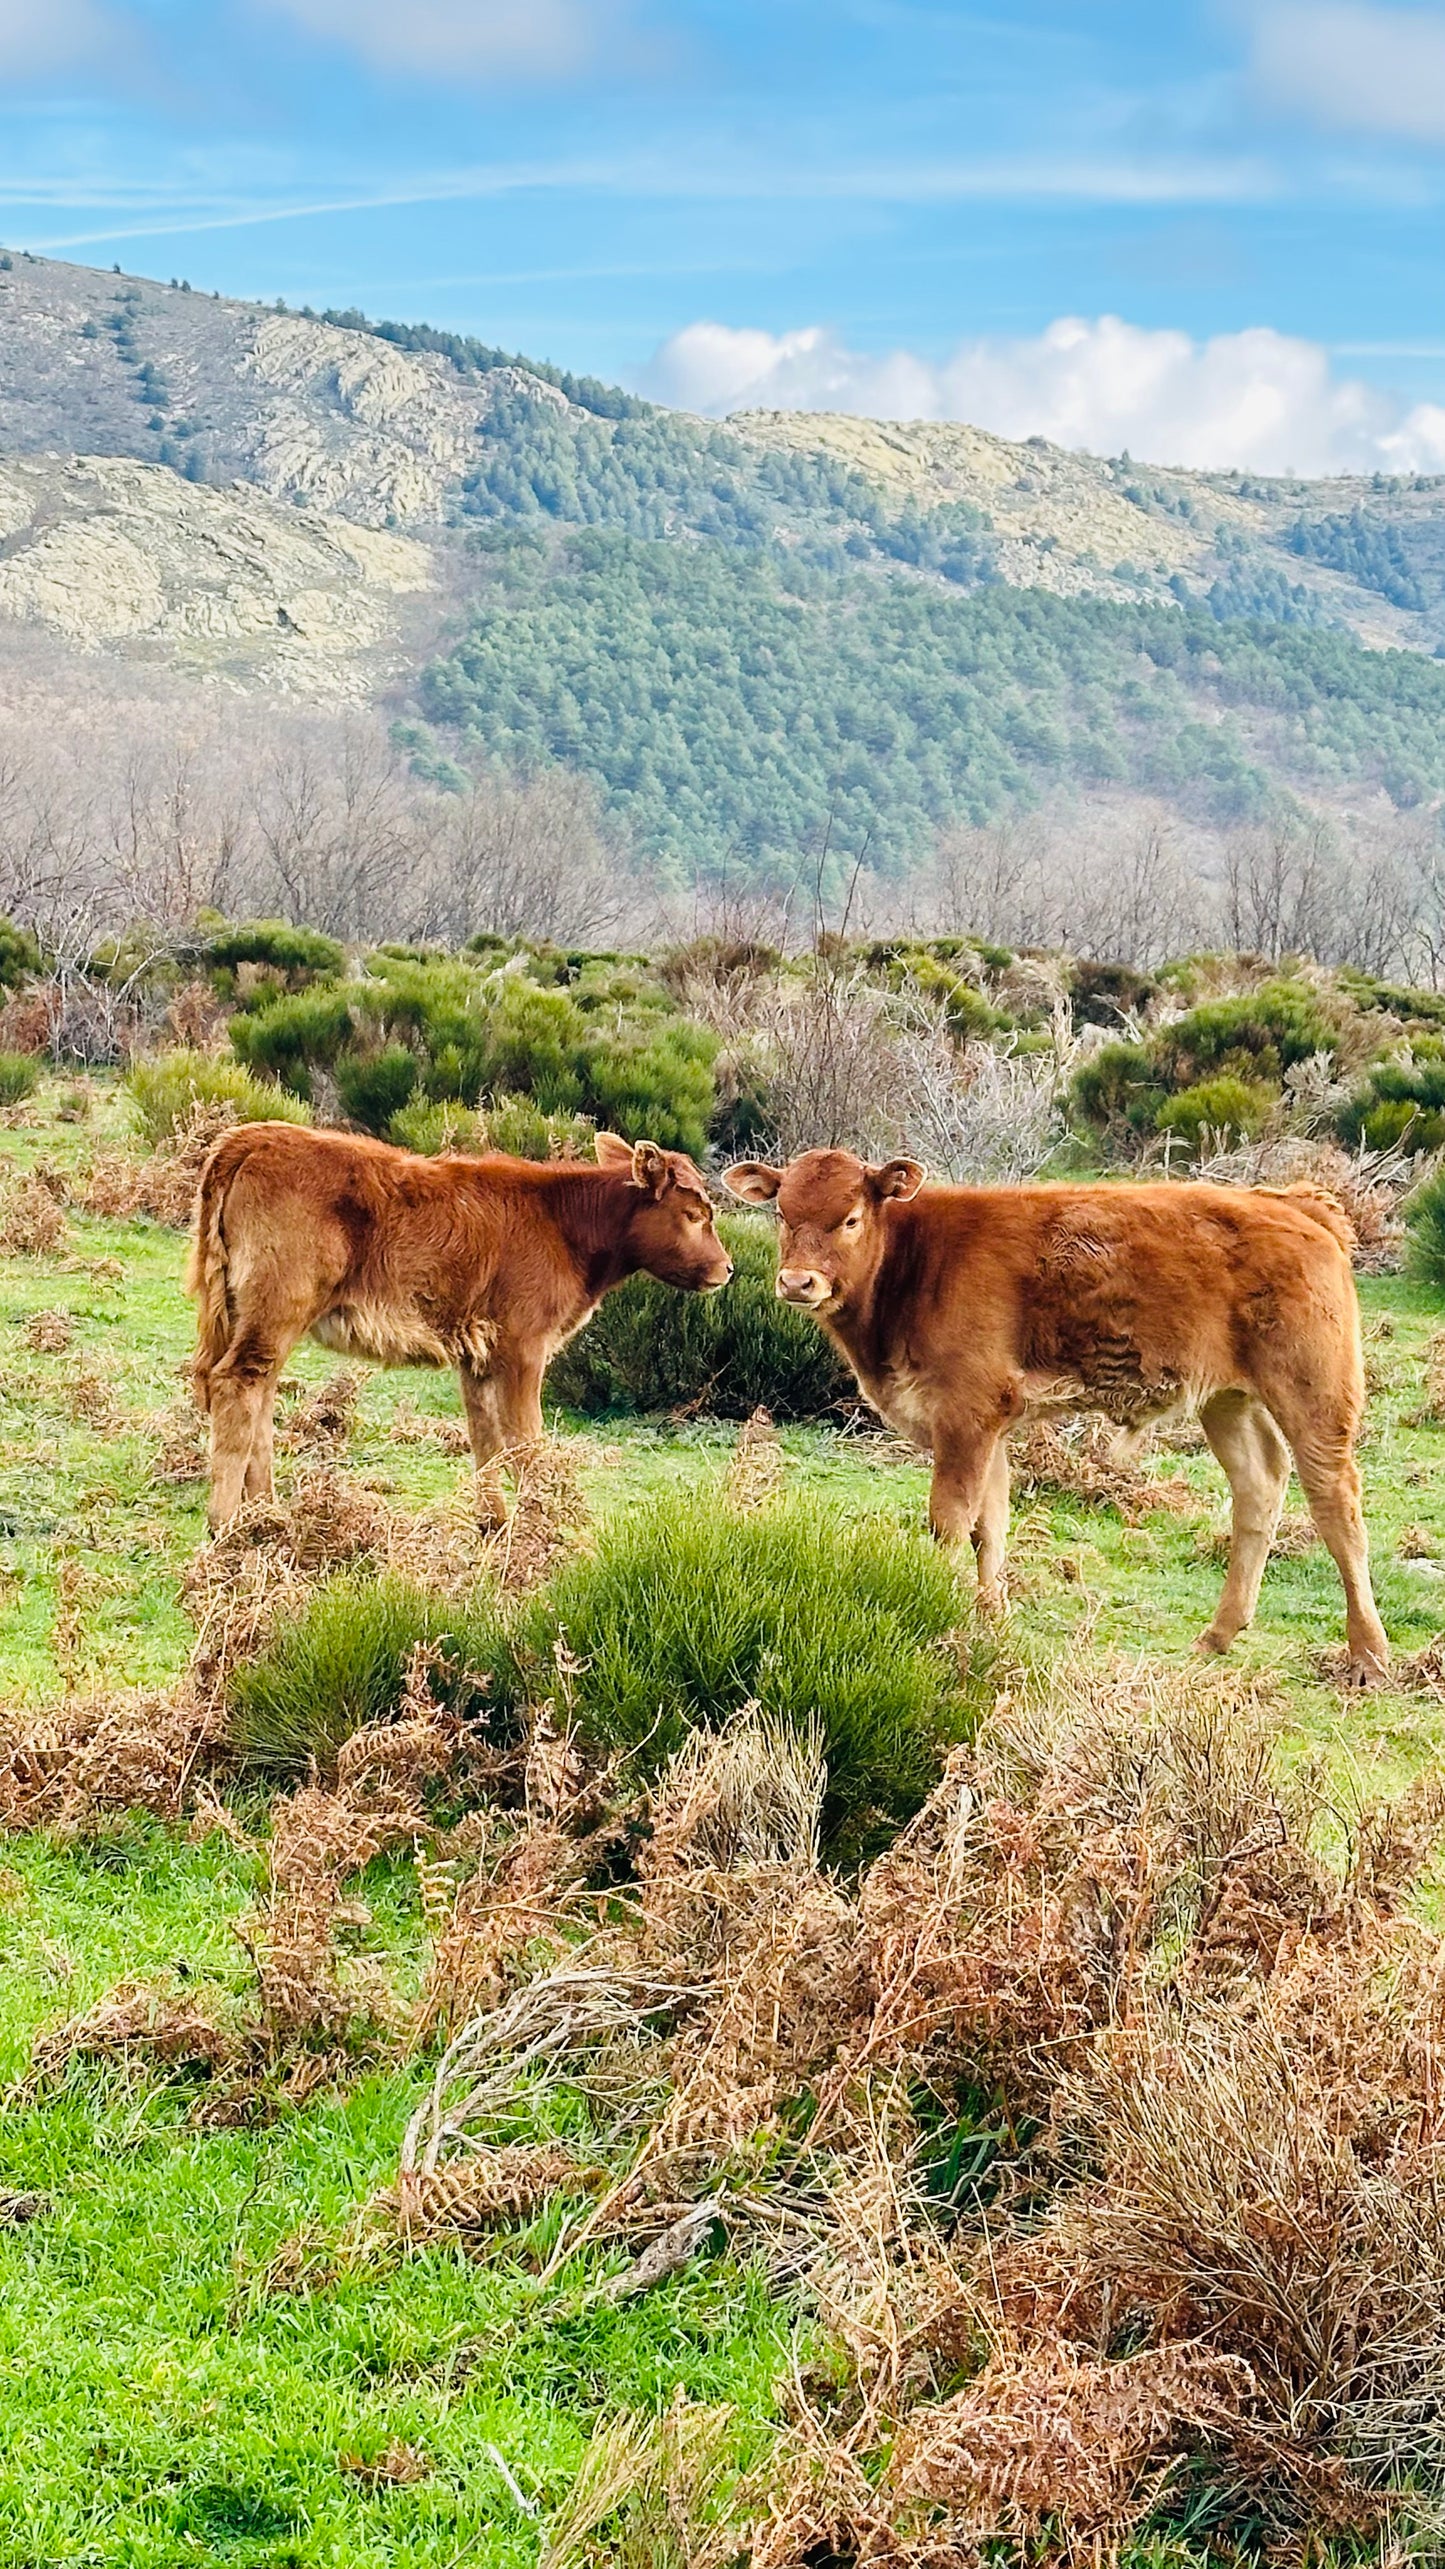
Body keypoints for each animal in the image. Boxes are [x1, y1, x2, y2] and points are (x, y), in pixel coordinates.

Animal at [188, 1125, 730, 1520]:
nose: (726, 1268)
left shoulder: (479, 1356)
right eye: (694, 1213)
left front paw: (496, 1522)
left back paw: (266, 1516)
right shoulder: (523, 1349)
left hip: (254, 1315)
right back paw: (227, 1526)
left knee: (258, 1393)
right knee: (238, 1383)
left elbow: (486, 1438)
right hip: (278, 1307)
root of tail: (250, 1138)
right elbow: (525, 1441)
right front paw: (544, 1525)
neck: (562, 1221)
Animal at [725, 1150, 1388, 1685]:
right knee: (1259, 1486)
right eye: (783, 1214)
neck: (915, 1262)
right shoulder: (988, 1424)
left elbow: (950, 1523)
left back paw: (1368, 1656)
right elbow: (990, 1525)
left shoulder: (965, 1415)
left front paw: (934, 1614)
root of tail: (1294, 1204)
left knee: (1338, 1504)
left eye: (851, 1219)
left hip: (1313, 1393)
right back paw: (1218, 1635)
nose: (797, 1282)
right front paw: (989, 1619)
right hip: (1226, 1400)